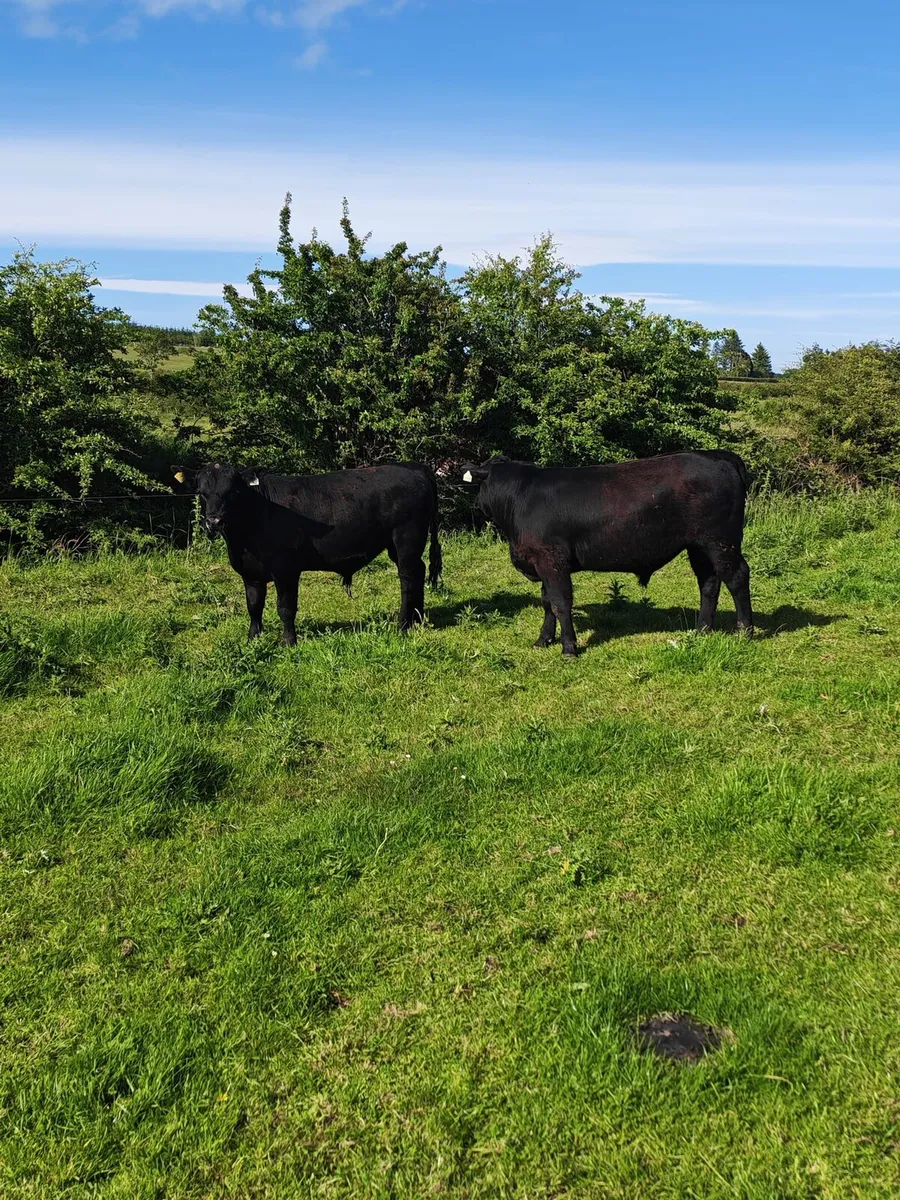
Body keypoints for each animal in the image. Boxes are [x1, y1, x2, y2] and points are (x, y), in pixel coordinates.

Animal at [171, 462, 442, 644]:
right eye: (201, 493)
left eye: (234, 491)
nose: (214, 521)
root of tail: (414, 467)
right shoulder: (251, 573)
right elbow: (254, 606)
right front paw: (253, 639)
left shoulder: (286, 570)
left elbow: (285, 608)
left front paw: (288, 642)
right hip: (397, 545)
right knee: (418, 572)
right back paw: (418, 618)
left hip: (407, 538)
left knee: (408, 577)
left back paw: (403, 624)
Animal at [460, 451, 753, 656]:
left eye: (480, 485)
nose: (474, 506)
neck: (521, 498)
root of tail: (717, 455)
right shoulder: (541, 562)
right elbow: (547, 603)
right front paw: (543, 640)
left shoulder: (552, 561)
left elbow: (560, 603)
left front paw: (569, 648)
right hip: (699, 547)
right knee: (709, 583)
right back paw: (702, 630)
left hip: (721, 541)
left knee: (737, 577)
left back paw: (745, 631)